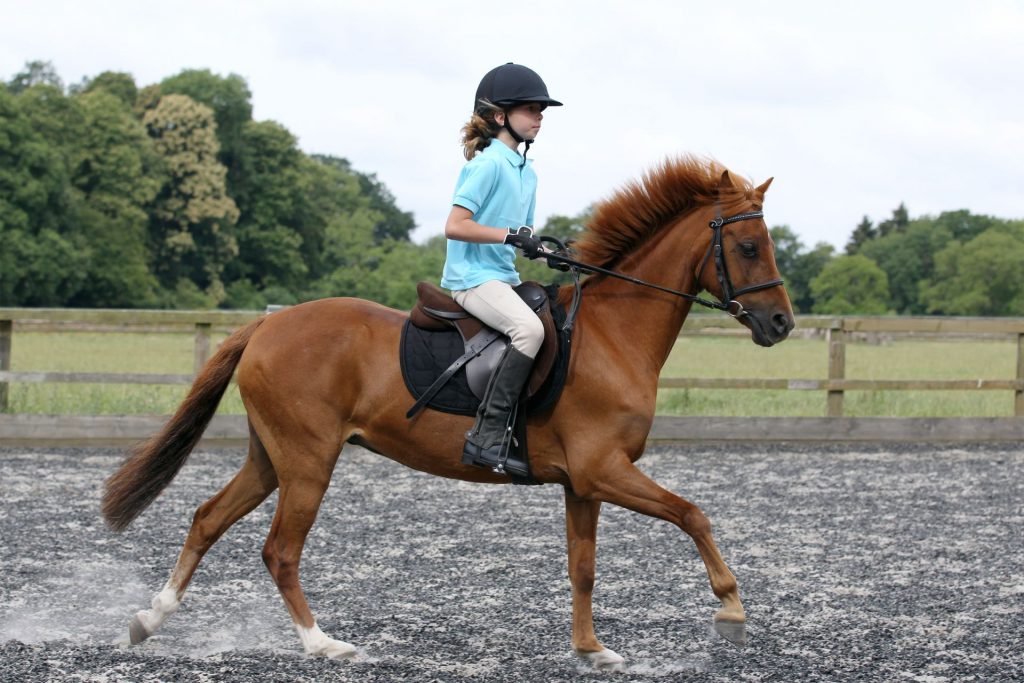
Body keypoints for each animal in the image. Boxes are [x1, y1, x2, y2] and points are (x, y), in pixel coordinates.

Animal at [101, 156, 795, 669]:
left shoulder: (584, 482)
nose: (781, 324)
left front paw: (591, 650)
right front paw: (731, 612)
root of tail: (268, 325)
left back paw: (147, 620)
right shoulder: (604, 469)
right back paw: (322, 643)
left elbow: (584, 569)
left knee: (207, 518)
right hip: (307, 462)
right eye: (748, 246)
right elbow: (693, 514)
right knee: (280, 550)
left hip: (272, 457)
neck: (612, 334)